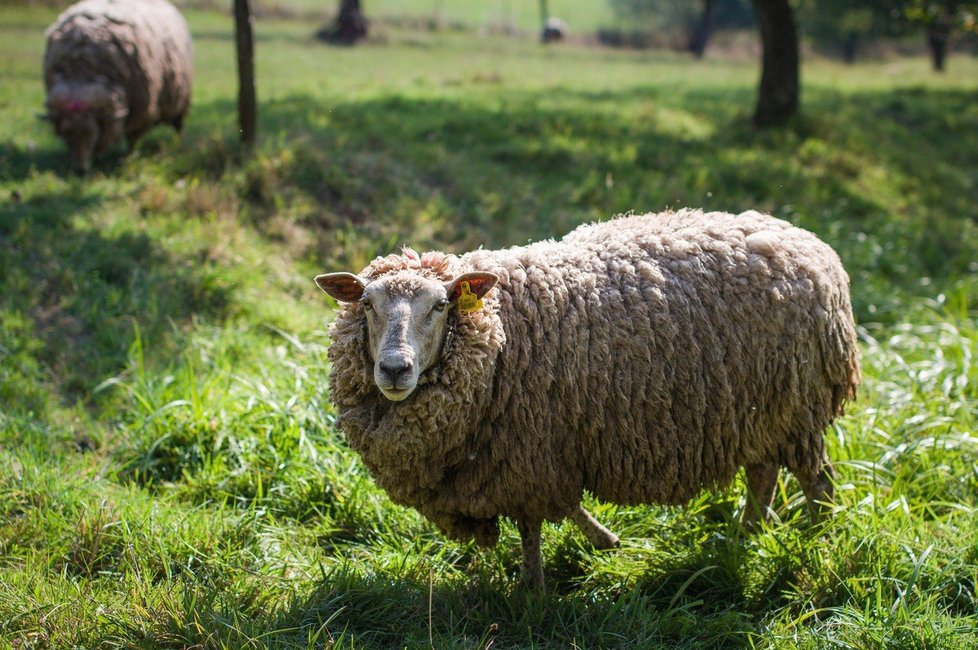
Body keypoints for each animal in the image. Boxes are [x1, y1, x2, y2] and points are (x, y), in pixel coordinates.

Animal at [41, 0, 193, 172]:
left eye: (90, 133)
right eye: (66, 134)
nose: (79, 170)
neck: (81, 72)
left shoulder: (141, 110)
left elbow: (133, 137)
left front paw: (130, 157)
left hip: (181, 98)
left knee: (178, 125)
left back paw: (177, 143)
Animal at [316, 209, 856, 588]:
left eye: (441, 305)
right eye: (367, 304)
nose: (394, 369)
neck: (502, 335)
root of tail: (811, 245)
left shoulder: (529, 454)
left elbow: (532, 526)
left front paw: (532, 591)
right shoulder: (534, 456)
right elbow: (555, 512)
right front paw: (602, 541)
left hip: (798, 406)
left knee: (818, 482)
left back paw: (815, 547)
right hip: (759, 411)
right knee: (763, 474)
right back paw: (745, 538)